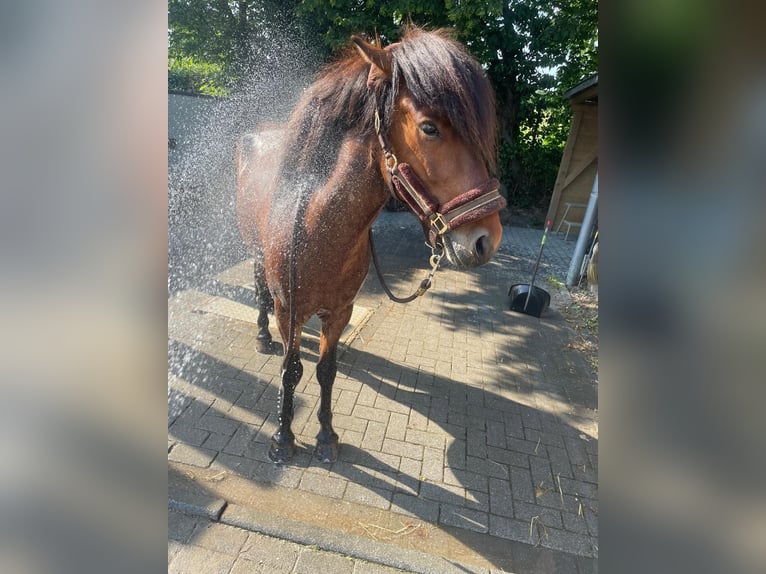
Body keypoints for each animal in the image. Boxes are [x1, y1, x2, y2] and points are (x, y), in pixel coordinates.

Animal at [235, 27, 506, 464]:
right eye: (429, 128)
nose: (486, 240)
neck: (317, 230)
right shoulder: (289, 310)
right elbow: (290, 371)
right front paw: (283, 439)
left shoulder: (341, 311)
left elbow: (325, 371)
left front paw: (326, 437)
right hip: (256, 256)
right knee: (259, 288)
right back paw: (262, 337)